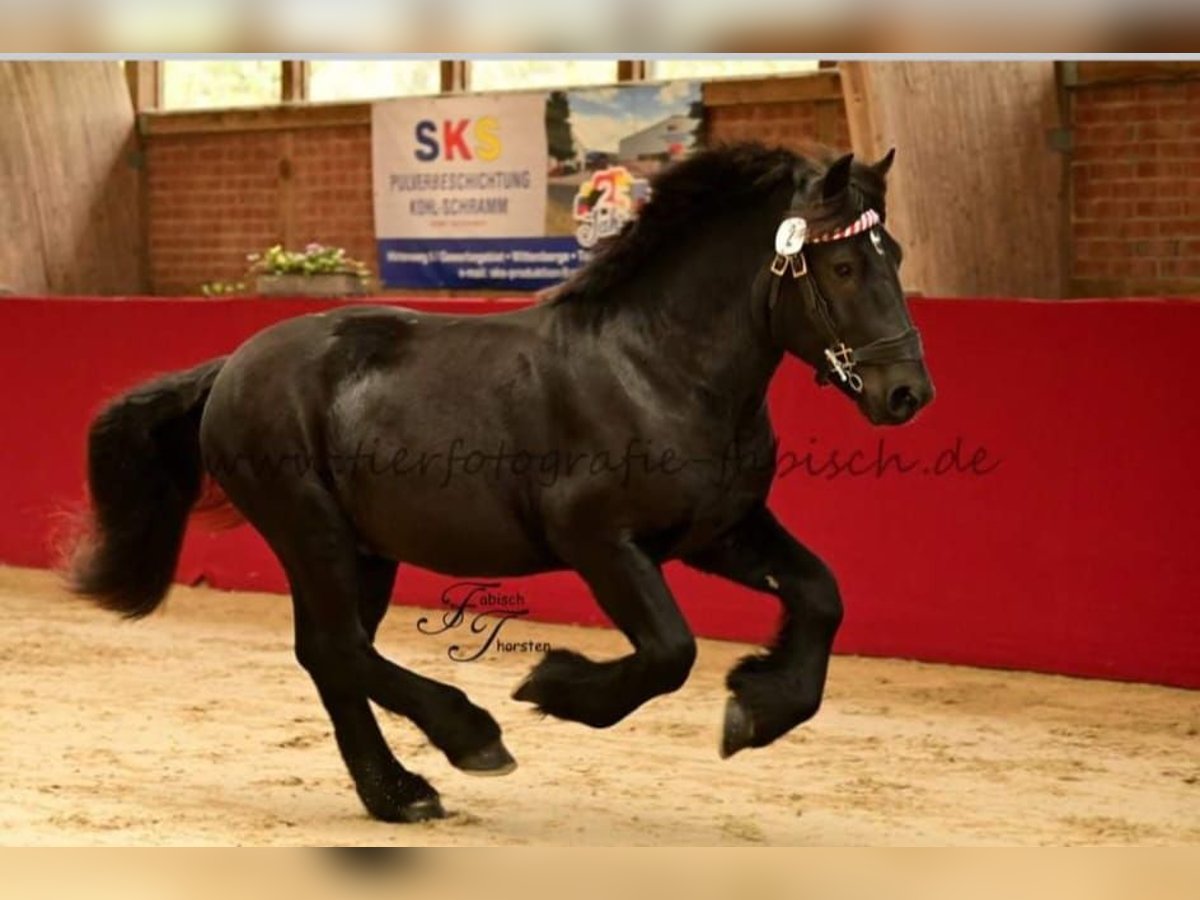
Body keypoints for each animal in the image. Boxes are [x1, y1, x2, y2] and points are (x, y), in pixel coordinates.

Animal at [68, 142, 926, 825]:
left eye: (896, 256)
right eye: (844, 265)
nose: (907, 393)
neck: (657, 367)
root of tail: (232, 368)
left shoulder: (718, 531)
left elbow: (820, 595)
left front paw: (756, 709)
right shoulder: (598, 540)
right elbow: (669, 652)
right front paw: (553, 687)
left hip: (363, 549)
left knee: (330, 655)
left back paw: (399, 794)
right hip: (311, 533)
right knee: (338, 650)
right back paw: (469, 739)